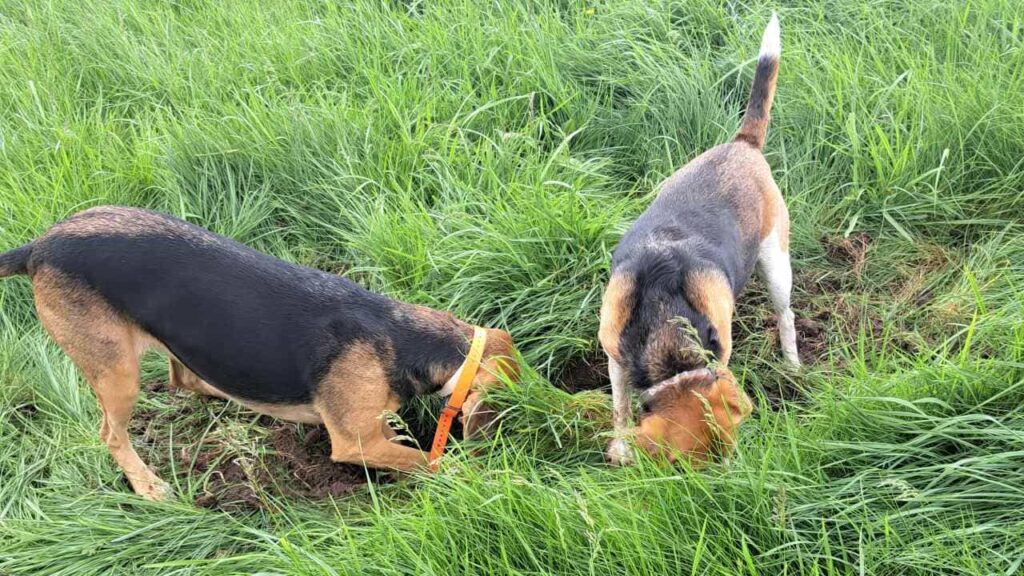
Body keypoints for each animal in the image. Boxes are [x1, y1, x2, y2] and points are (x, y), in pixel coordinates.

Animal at [0, 206, 516, 498]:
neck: (400, 335)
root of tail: (38, 246)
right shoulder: (355, 443)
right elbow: (427, 460)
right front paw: (482, 479)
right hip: (116, 371)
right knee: (112, 434)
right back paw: (148, 487)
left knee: (183, 378)